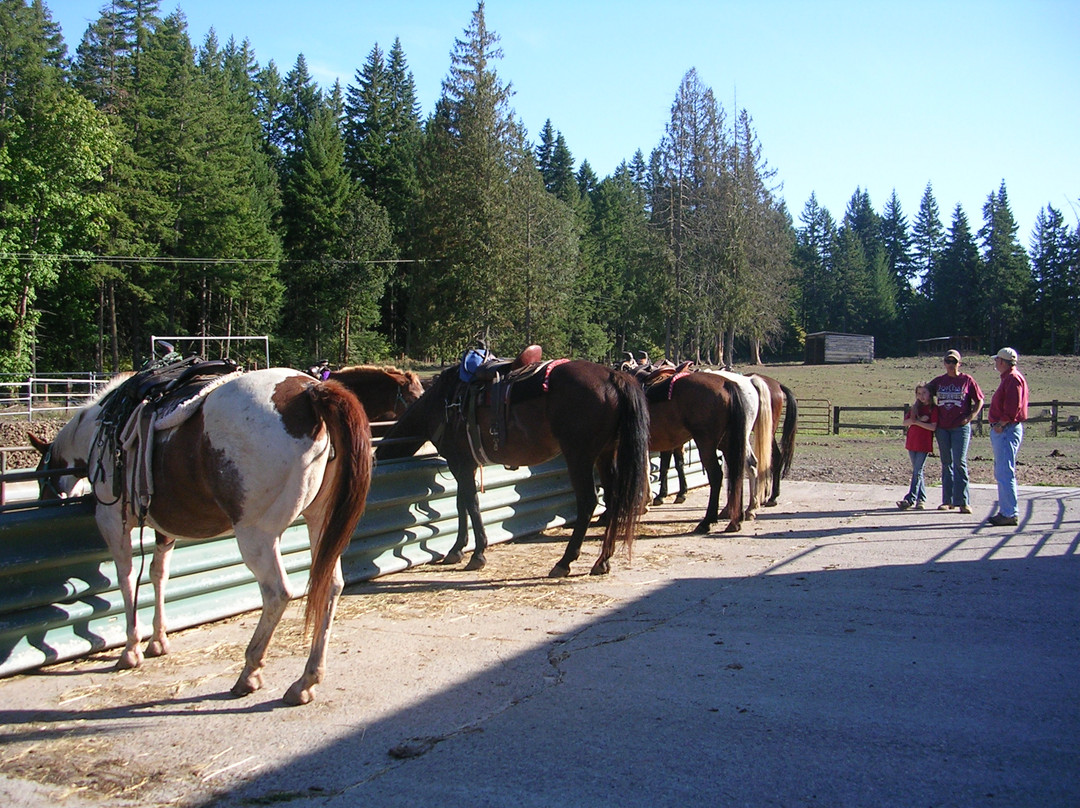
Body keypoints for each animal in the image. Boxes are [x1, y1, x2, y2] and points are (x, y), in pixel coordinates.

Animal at [375, 358, 643, 574]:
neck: (443, 403)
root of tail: (612, 376)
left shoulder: (460, 463)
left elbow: (470, 504)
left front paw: (477, 554)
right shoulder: (465, 464)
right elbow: (462, 504)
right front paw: (457, 550)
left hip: (580, 456)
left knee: (588, 502)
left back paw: (564, 562)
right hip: (605, 455)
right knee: (613, 499)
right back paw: (602, 561)